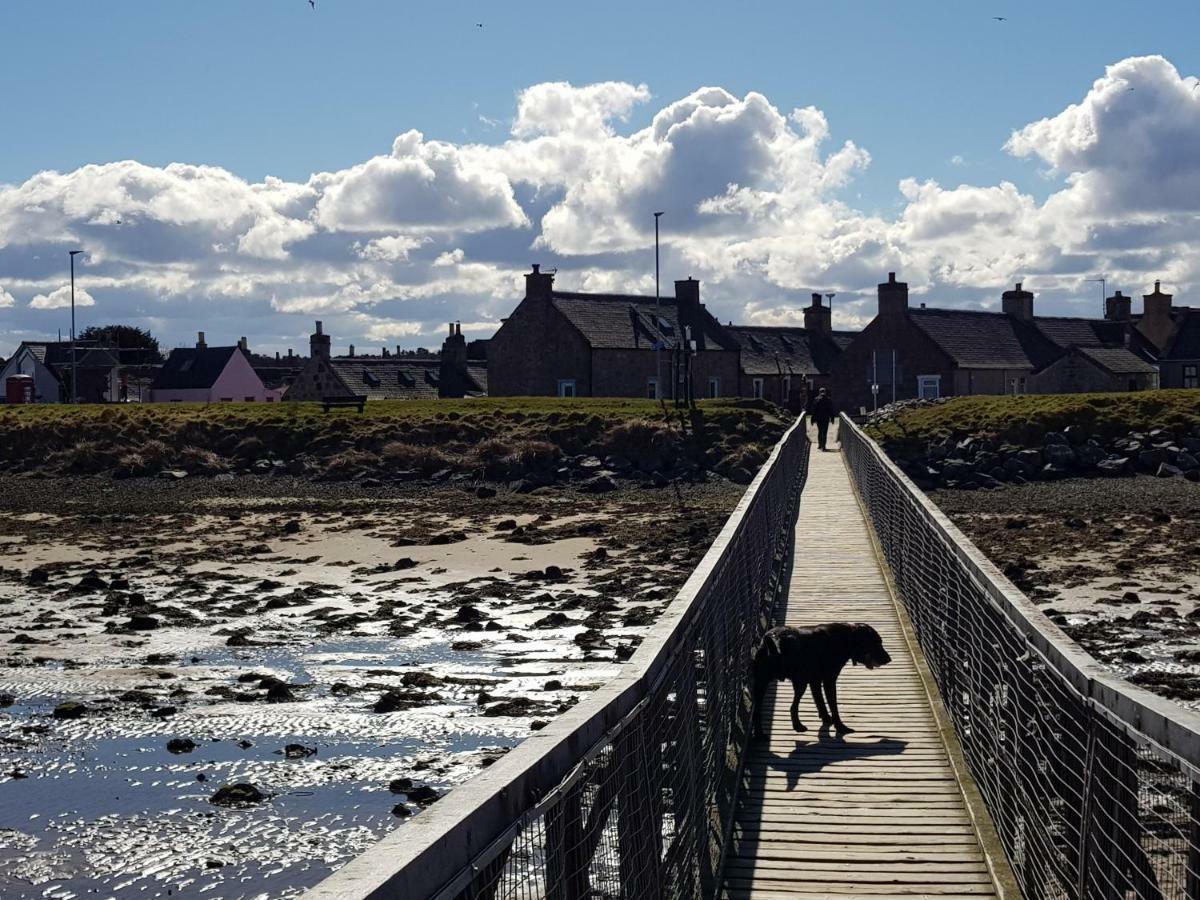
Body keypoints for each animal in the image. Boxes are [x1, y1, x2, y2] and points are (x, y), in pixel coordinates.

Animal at [748, 624, 892, 744]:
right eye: (876, 642)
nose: (889, 659)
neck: (844, 639)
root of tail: (774, 639)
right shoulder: (829, 680)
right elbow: (833, 705)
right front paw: (840, 727)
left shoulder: (815, 680)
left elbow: (819, 700)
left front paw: (826, 718)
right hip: (799, 682)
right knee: (793, 706)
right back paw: (798, 726)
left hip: (762, 682)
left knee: (757, 710)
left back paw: (760, 734)